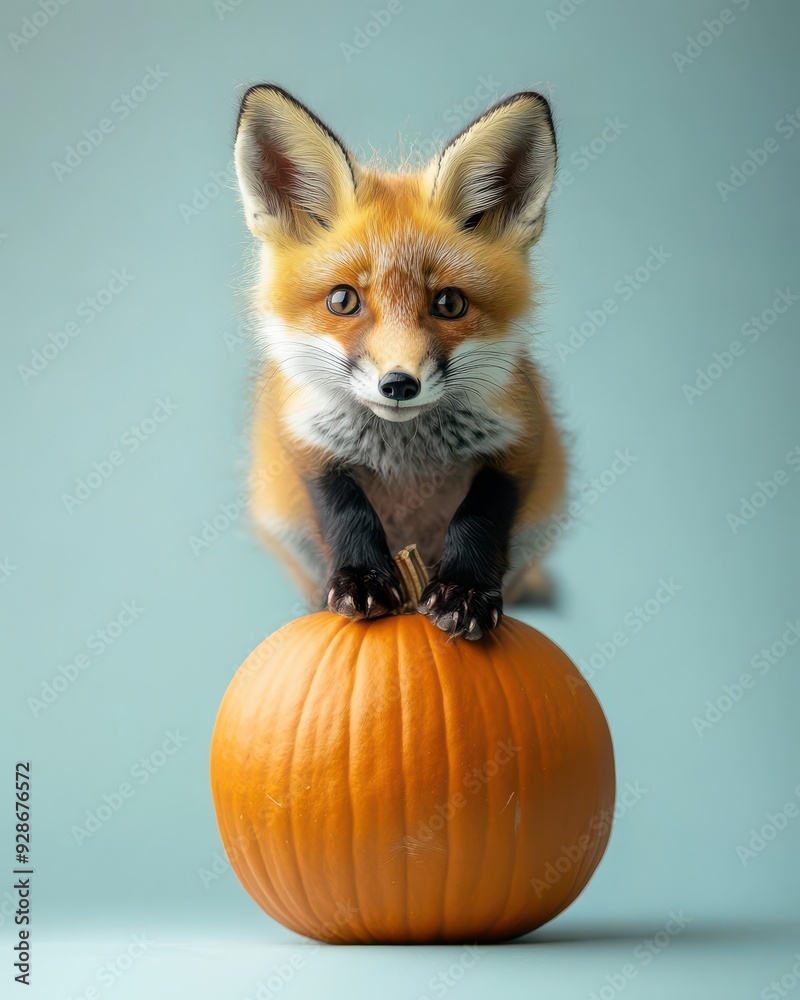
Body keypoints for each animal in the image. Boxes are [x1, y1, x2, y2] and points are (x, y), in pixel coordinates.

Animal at [234, 84, 566, 640]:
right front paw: (361, 580)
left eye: (449, 304)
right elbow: (346, 510)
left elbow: (481, 513)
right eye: (343, 300)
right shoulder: (304, 441)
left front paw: (464, 592)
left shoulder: (522, 440)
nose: (398, 384)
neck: (405, 454)